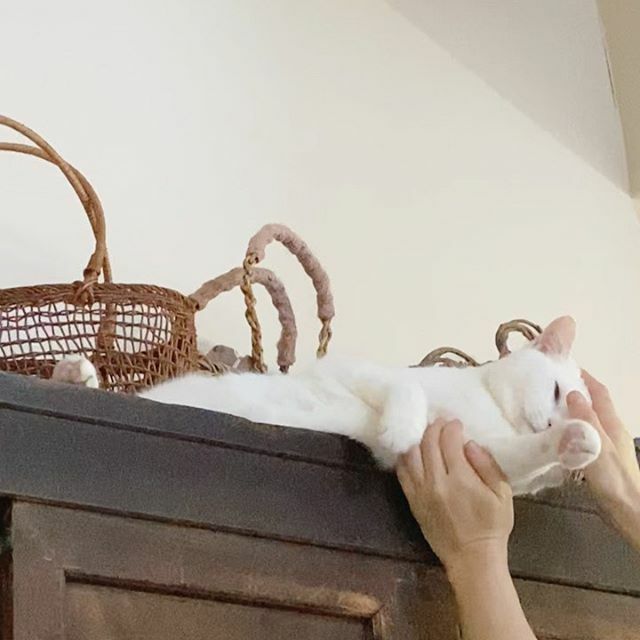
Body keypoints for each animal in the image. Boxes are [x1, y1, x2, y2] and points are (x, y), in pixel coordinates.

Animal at [52, 316, 601, 495]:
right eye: (556, 392)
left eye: (569, 407)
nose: (551, 421)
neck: (485, 405)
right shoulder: (349, 369)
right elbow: (409, 390)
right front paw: (404, 426)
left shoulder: (481, 452)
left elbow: (522, 456)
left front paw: (575, 442)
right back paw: (74, 374)